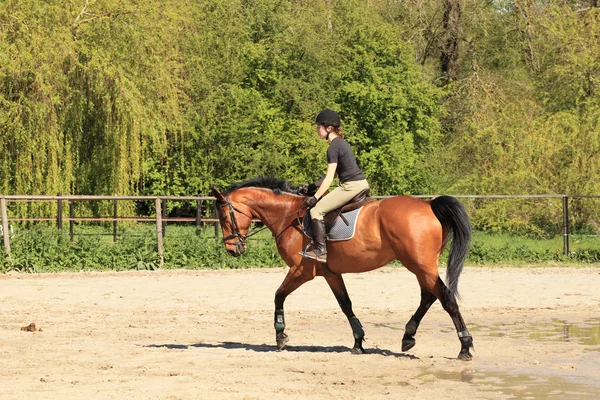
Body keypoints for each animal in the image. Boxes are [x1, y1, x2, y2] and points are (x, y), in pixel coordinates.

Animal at [211, 176, 474, 360]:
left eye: (223, 217)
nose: (232, 249)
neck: (288, 215)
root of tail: (429, 205)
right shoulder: (330, 273)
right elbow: (345, 305)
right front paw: (358, 342)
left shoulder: (301, 271)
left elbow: (278, 295)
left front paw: (280, 335)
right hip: (420, 267)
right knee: (429, 296)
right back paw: (408, 337)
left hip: (420, 265)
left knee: (446, 298)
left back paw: (465, 346)